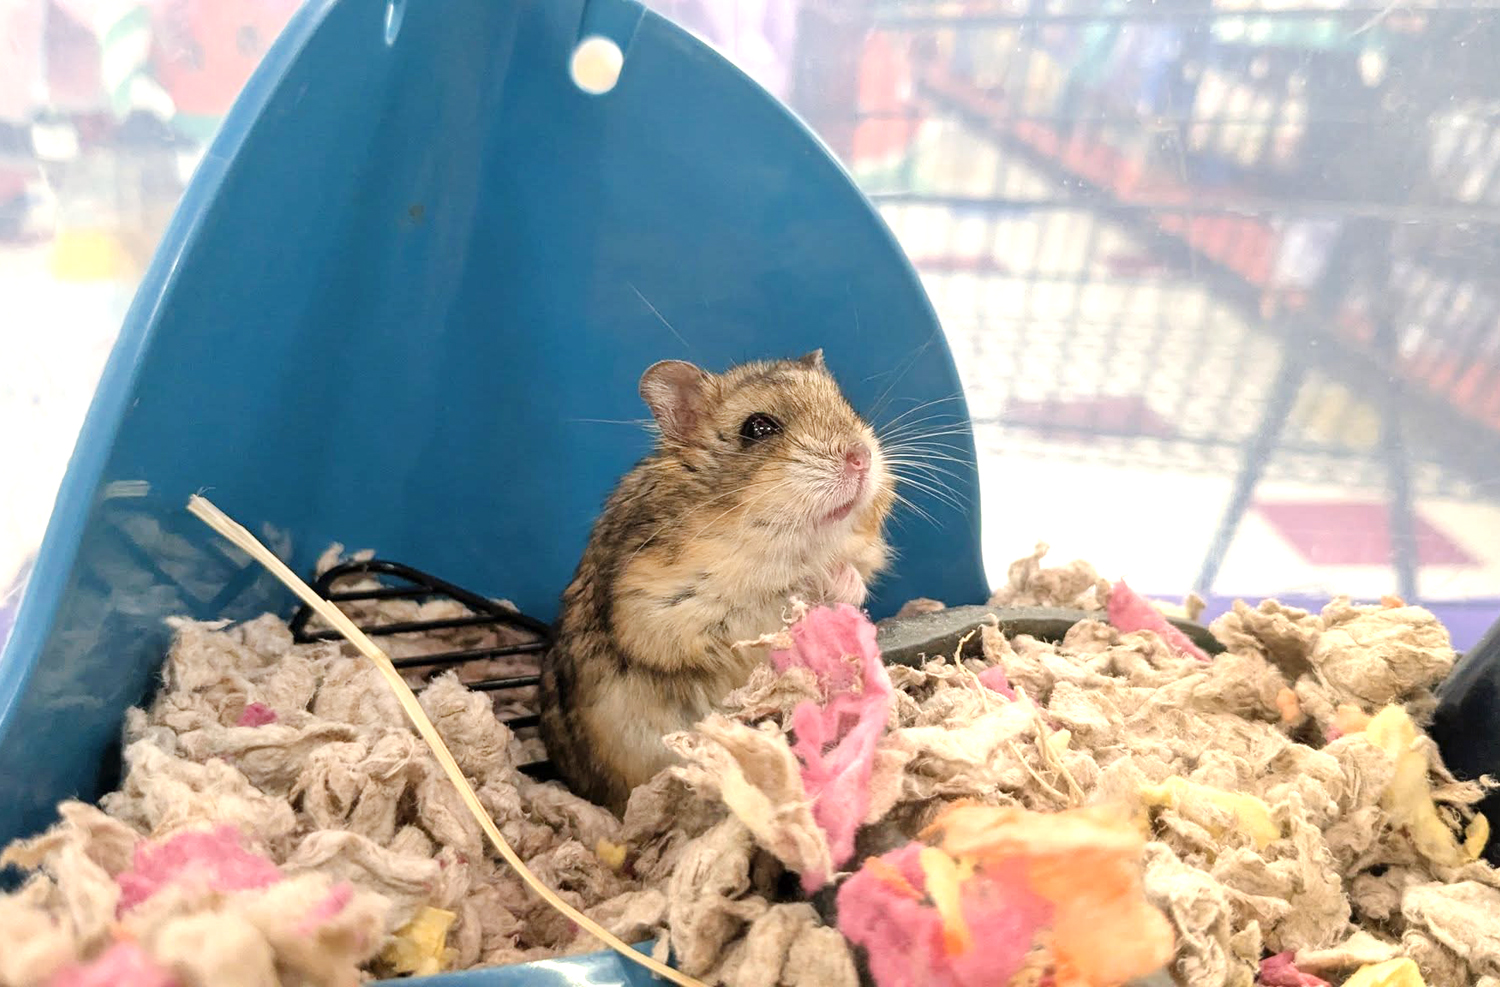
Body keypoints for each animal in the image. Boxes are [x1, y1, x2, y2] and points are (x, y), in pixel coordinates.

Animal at [538, 350, 896, 812]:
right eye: (758, 428)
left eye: (847, 405)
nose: (861, 457)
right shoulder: (672, 610)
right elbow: (771, 606)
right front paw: (813, 584)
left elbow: (851, 578)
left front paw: (840, 579)